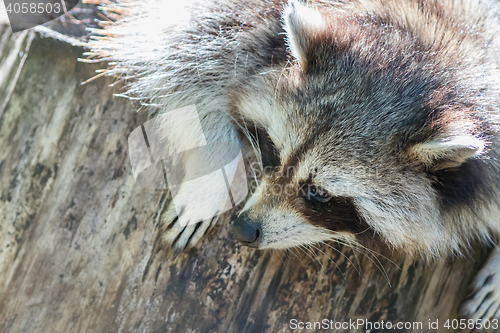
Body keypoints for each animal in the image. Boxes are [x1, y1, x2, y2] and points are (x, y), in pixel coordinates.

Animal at [85, 0, 500, 322]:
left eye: (319, 193)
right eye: (273, 150)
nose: (244, 229)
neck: (432, 46)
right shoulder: (239, 18)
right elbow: (184, 52)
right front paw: (213, 173)